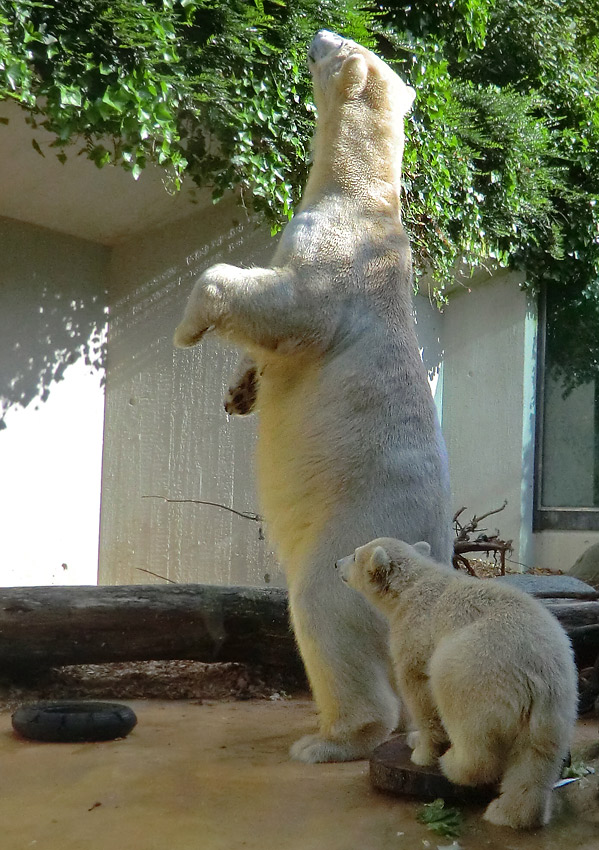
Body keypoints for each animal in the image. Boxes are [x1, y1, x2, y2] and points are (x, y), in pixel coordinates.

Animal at [173, 29, 450, 760]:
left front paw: (188, 326)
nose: (317, 33)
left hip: (355, 528)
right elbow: (268, 339)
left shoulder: (339, 258)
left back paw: (332, 738)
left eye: (340, 42)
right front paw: (240, 390)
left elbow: (288, 305)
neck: (360, 195)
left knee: (324, 611)